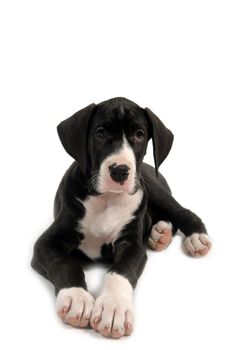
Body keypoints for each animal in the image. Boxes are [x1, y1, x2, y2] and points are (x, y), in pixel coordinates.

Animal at [31, 97, 212, 338]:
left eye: (139, 135)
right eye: (99, 133)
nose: (119, 170)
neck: (107, 198)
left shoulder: (132, 246)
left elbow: (121, 271)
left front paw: (113, 307)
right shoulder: (47, 243)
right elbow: (65, 262)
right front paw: (77, 297)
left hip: (153, 188)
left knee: (182, 212)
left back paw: (195, 238)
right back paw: (160, 233)